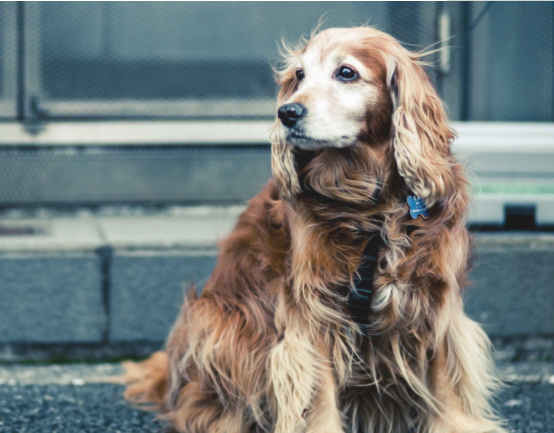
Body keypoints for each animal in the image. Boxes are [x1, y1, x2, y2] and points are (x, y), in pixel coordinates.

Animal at [122, 27, 504, 432]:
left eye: (346, 72)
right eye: (299, 75)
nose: (287, 112)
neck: (370, 207)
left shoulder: (434, 298)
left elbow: (444, 381)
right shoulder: (312, 310)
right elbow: (317, 391)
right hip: (219, 321)